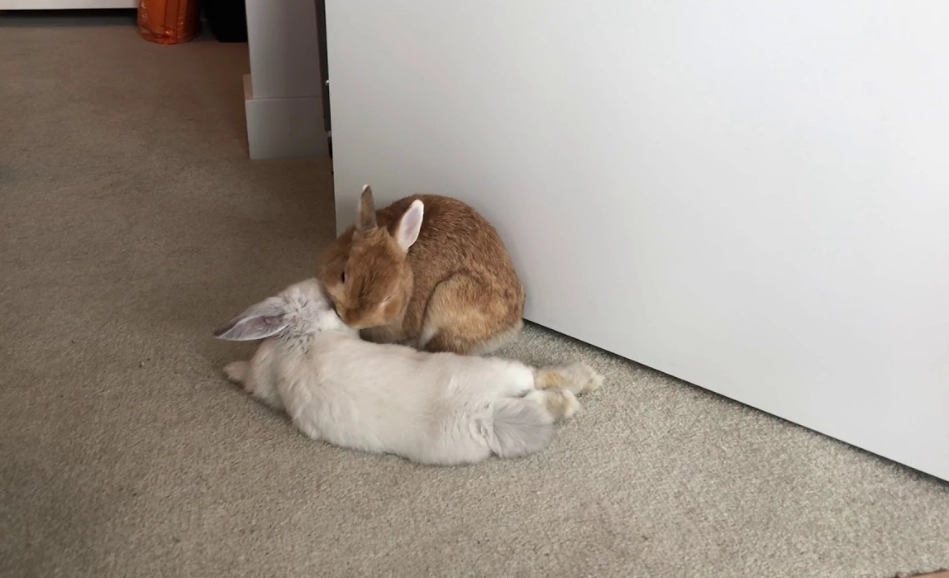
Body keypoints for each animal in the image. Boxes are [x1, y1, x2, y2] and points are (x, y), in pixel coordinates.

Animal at [213, 278, 604, 466]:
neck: (303, 335)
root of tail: (485, 413)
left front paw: (231, 369)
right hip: (502, 373)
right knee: (539, 383)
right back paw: (582, 386)